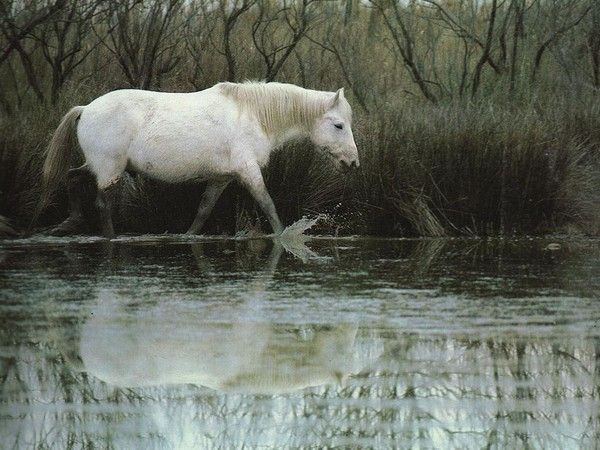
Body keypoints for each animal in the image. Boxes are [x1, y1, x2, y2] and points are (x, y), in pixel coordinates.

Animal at [39, 81, 358, 237]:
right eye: (338, 125)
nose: (353, 163)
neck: (253, 114)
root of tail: (86, 109)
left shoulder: (222, 178)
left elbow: (203, 211)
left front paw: (187, 236)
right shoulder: (248, 171)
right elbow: (268, 205)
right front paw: (283, 235)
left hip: (99, 166)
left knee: (72, 177)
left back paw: (70, 222)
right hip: (109, 170)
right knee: (102, 205)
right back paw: (109, 238)